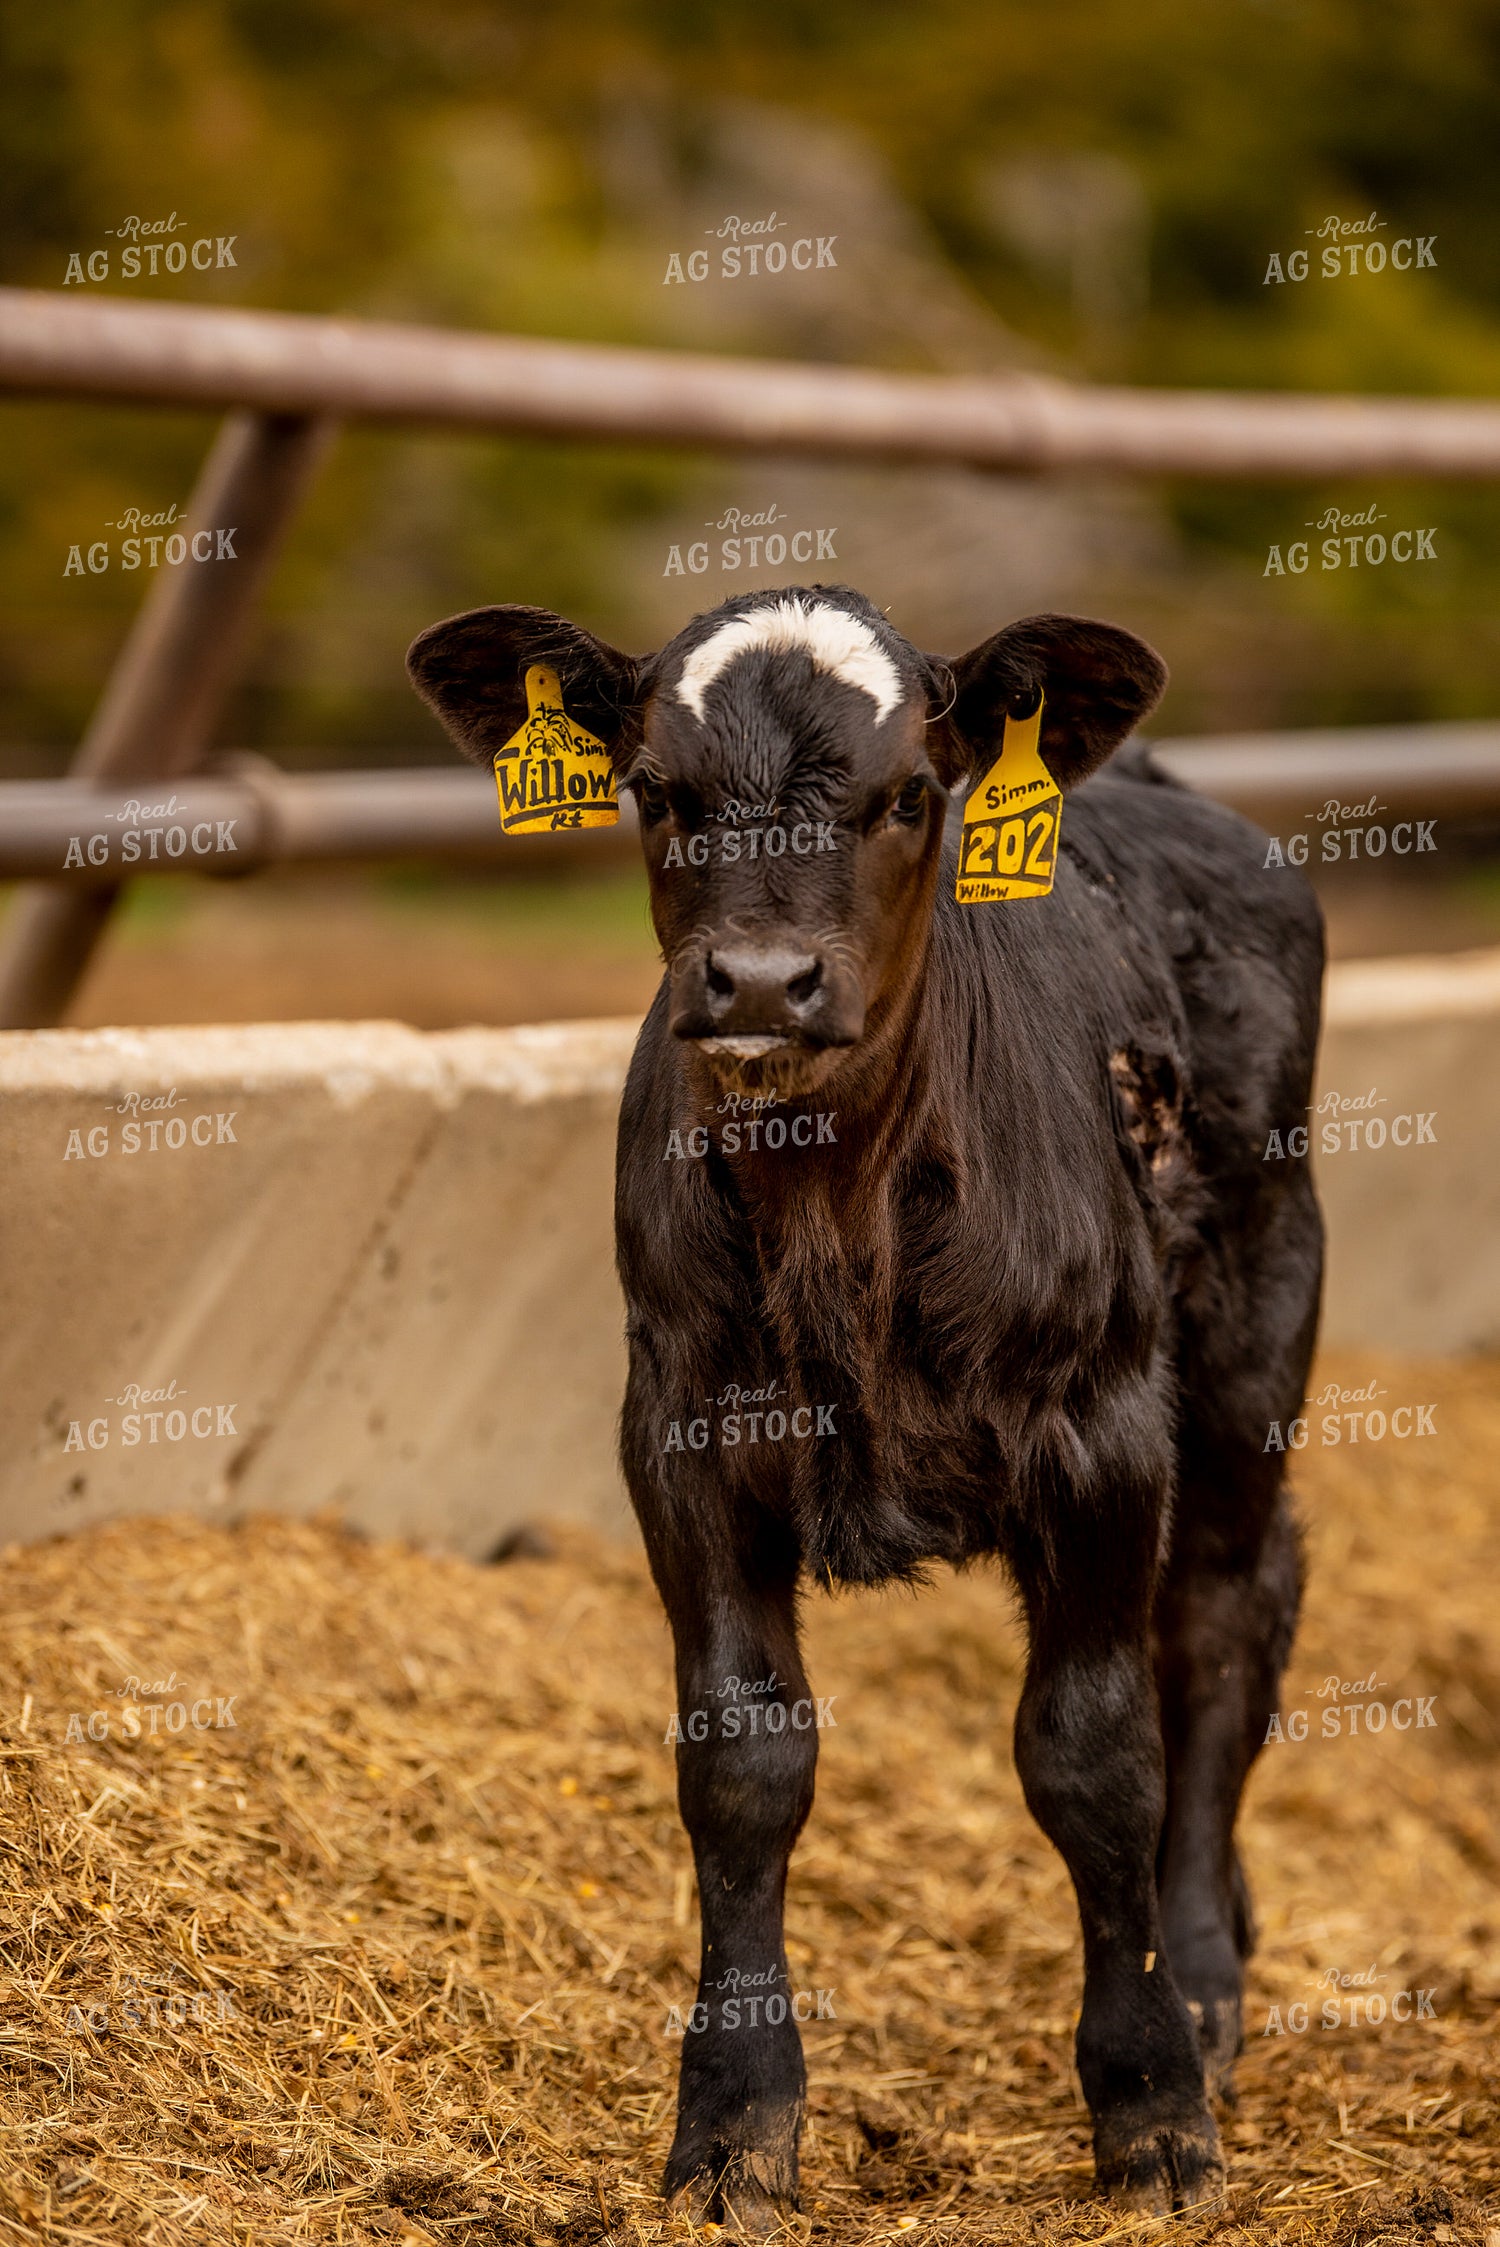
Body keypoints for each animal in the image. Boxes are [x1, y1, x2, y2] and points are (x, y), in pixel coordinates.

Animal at [408, 585, 1324, 2231]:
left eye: (909, 797)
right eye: (658, 790)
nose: (765, 983)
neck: (838, 1210)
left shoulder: (1100, 1431)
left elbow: (1093, 1752)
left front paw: (1152, 2103)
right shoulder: (683, 1435)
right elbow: (743, 1761)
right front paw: (733, 2123)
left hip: (1252, 1327)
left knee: (1224, 1611)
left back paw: (1210, 1973)